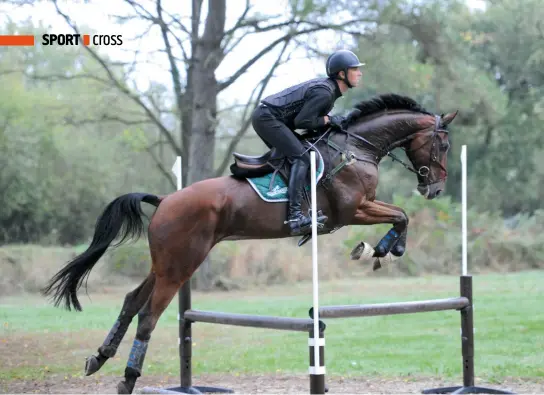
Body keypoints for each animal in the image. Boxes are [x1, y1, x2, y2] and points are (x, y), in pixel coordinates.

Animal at [42, 93, 456, 395]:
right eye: (443, 144)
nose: (434, 189)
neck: (357, 147)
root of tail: (164, 200)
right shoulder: (352, 210)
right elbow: (401, 214)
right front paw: (383, 250)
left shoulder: (358, 210)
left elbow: (401, 215)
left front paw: (379, 250)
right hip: (181, 264)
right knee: (148, 316)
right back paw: (127, 379)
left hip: (166, 263)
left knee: (131, 302)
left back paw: (99, 357)